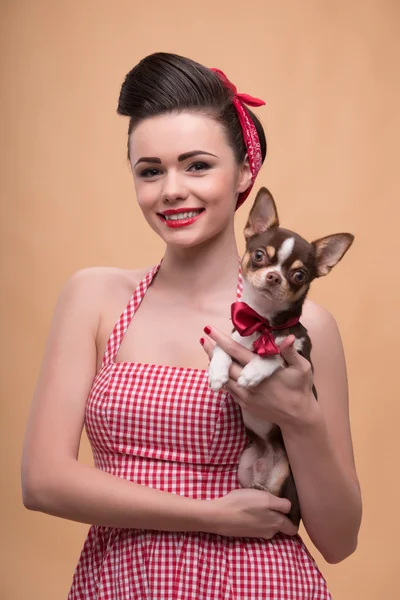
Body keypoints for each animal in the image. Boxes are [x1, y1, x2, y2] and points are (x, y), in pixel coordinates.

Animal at [208, 188, 354, 524]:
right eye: (259, 255)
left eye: (299, 275)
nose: (275, 276)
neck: (263, 322)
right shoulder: (236, 333)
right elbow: (224, 345)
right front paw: (218, 373)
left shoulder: (301, 359)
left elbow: (274, 355)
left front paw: (253, 370)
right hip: (244, 465)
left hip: (286, 478)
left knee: (282, 507)